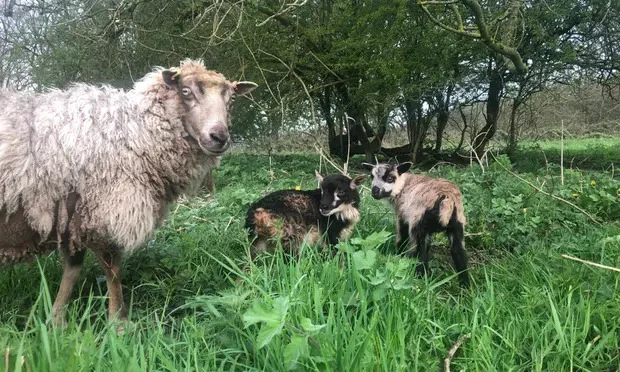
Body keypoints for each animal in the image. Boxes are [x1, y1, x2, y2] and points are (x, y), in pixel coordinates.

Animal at [0, 57, 256, 326]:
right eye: (186, 91)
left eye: (231, 99)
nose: (219, 137)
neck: (136, 131)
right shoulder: (107, 209)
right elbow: (112, 270)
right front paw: (118, 323)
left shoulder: (76, 216)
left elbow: (73, 270)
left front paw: (56, 320)